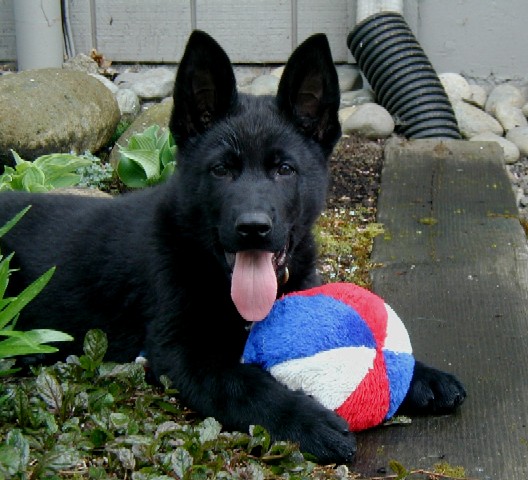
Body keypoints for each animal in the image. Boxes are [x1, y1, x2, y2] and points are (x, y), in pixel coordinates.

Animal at [0, 31, 464, 464]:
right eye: (221, 169)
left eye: (284, 169)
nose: (253, 229)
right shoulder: (183, 353)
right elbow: (244, 383)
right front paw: (306, 420)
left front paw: (422, 375)